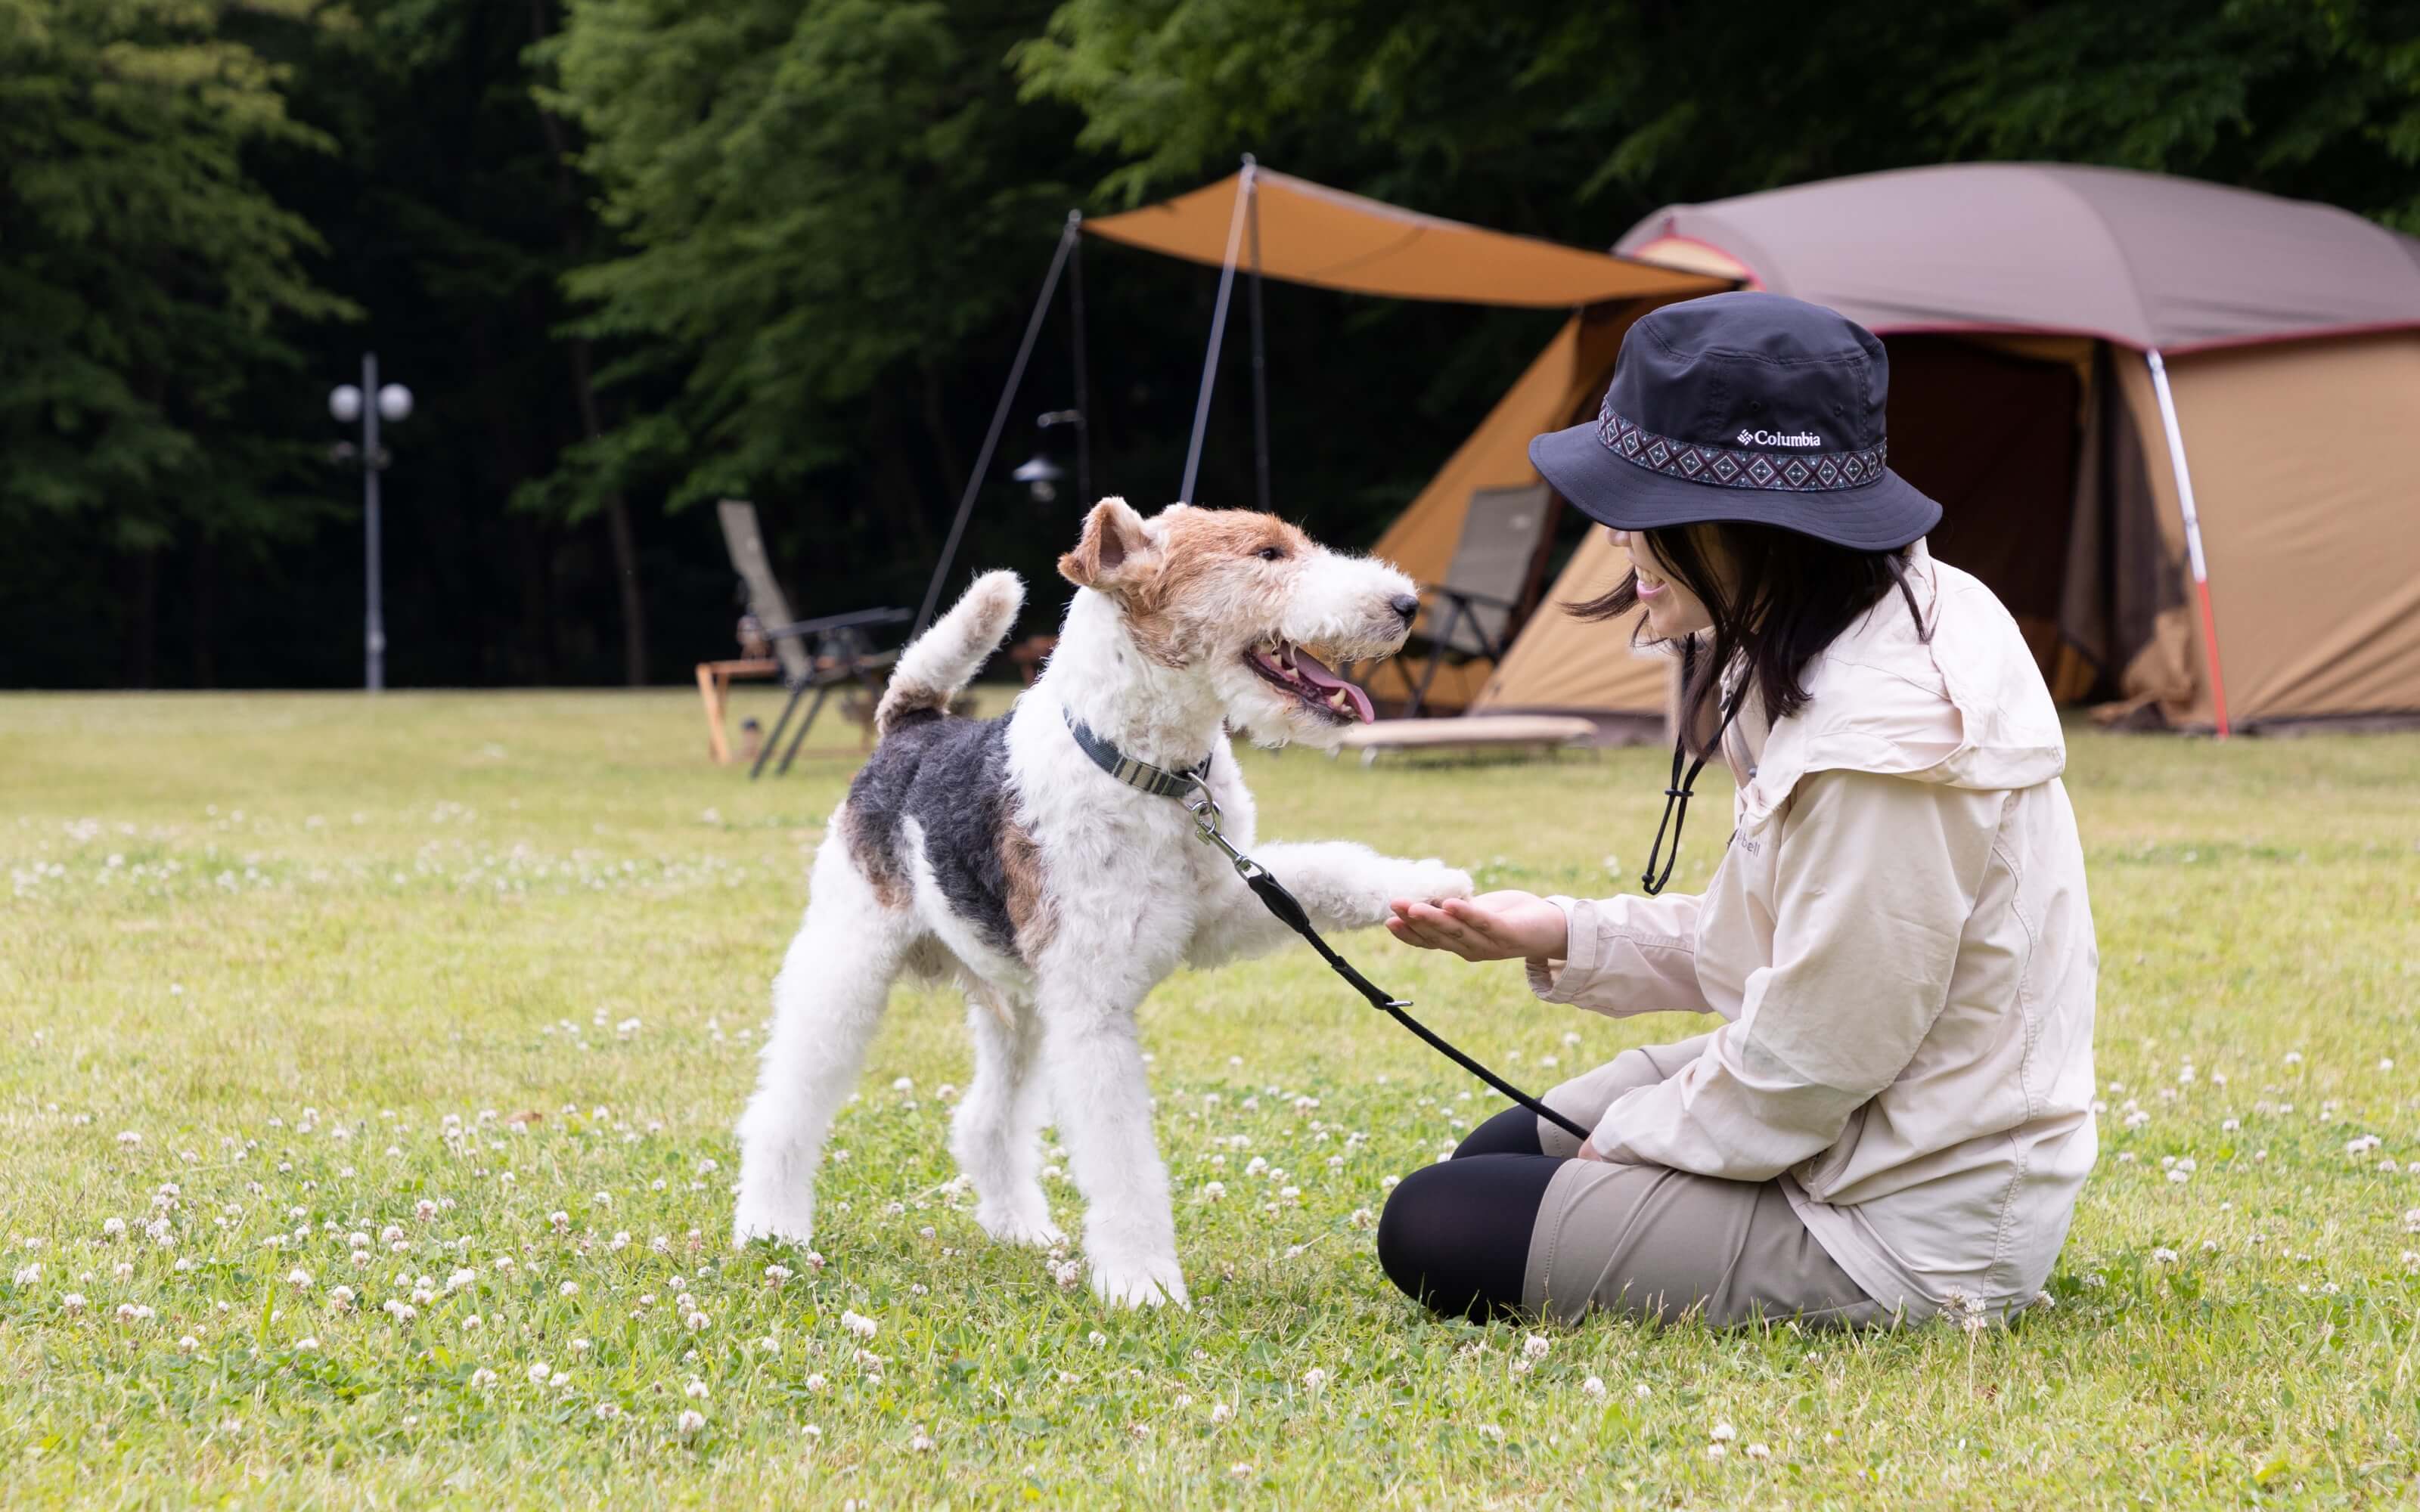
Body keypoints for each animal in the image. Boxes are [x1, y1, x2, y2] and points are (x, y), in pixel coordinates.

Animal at [726, 500, 1471, 1306]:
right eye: (1268, 554)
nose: (1406, 605)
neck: (1148, 772)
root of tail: (912, 728)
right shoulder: (1094, 1008)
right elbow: (1124, 1164)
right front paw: (1143, 1285)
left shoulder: (1219, 909)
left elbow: (1326, 870)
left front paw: (1427, 889)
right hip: (848, 965)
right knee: (784, 1107)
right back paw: (770, 1229)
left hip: (1020, 1005)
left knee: (985, 1123)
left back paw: (1022, 1229)